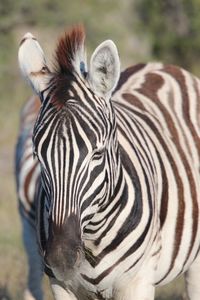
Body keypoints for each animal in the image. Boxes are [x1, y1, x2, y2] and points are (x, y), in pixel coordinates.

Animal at [17, 26, 200, 300]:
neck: (93, 237)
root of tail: (158, 65)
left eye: (97, 154)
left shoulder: (137, 282)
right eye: (39, 156)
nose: (61, 259)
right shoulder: (60, 285)